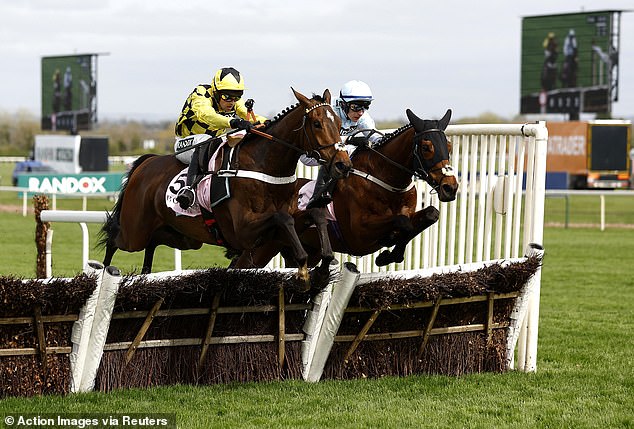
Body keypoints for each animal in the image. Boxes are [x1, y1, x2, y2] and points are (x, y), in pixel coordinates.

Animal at [101, 88, 354, 280]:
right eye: (317, 123)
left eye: (338, 122)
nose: (343, 164)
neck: (264, 166)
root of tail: (147, 161)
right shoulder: (242, 231)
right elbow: (284, 218)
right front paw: (302, 268)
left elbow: (316, 214)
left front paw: (323, 265)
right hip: (134, 232)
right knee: (114, 239)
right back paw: (104, 271)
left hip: (184, 237)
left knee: (153, 242)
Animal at [249, 107, 456, 268]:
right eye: (427, 147)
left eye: (449, 146)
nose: (450, 187)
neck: (387, 183)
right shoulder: (359, 233)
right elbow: (402, 222)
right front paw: (388, 250)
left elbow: (430, 214)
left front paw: (390, 255)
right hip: (262, 248)